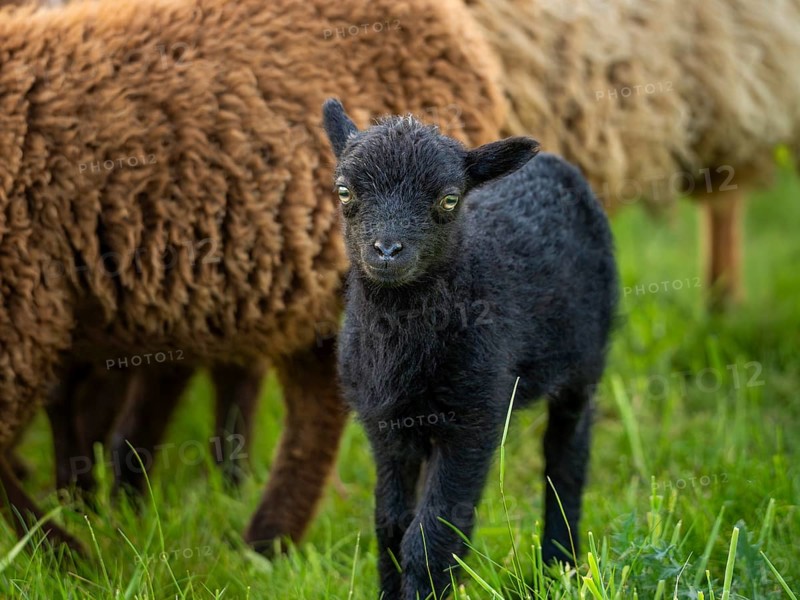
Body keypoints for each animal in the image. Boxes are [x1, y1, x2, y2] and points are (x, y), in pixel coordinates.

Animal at [0, 0, 505, 552]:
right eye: (346, 190)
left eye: (447, 199)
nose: (388, 251)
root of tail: (449, 25)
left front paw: (72, 544)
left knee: (315, 409)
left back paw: (256, 537)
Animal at [322, 98, 619, 598]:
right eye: (344, 192)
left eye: (448, 199)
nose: (387, 250)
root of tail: (554, 163)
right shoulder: (383, 425)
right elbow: (390, 526)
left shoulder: (474, 418)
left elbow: (430, 535)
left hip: (584, 365)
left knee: (565, 459)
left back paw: (558, 561)